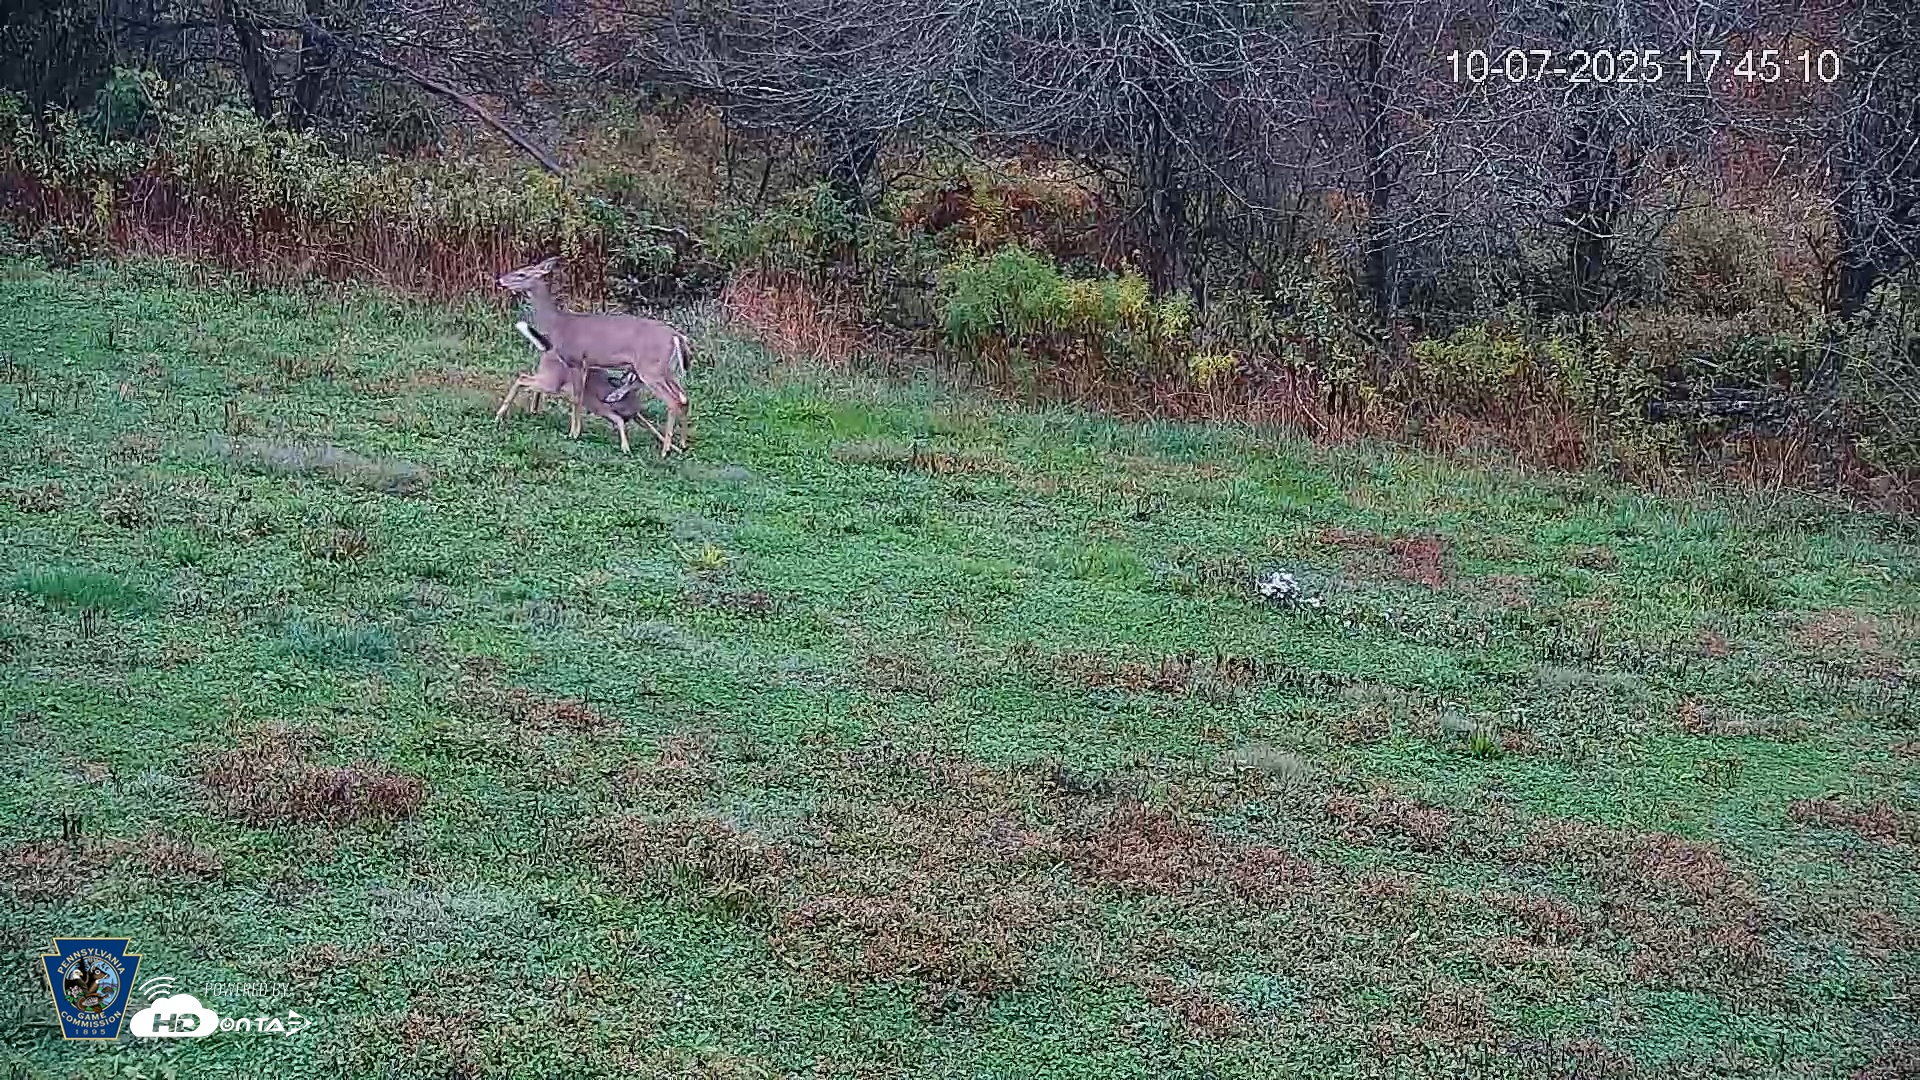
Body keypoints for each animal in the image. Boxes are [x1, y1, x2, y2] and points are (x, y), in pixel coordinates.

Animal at [495, 257, 690, 457]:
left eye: (522, 274)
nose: (500, 280)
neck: (558, 324)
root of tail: (676, 336)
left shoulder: (575, 359)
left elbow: (577, 397)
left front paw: (574, 433)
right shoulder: (584, 364)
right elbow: (580, 395)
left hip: (650, 368)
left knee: (673, 400)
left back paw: (665, 450)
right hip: (665, 368)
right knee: (684, 397)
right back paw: (682, 444)